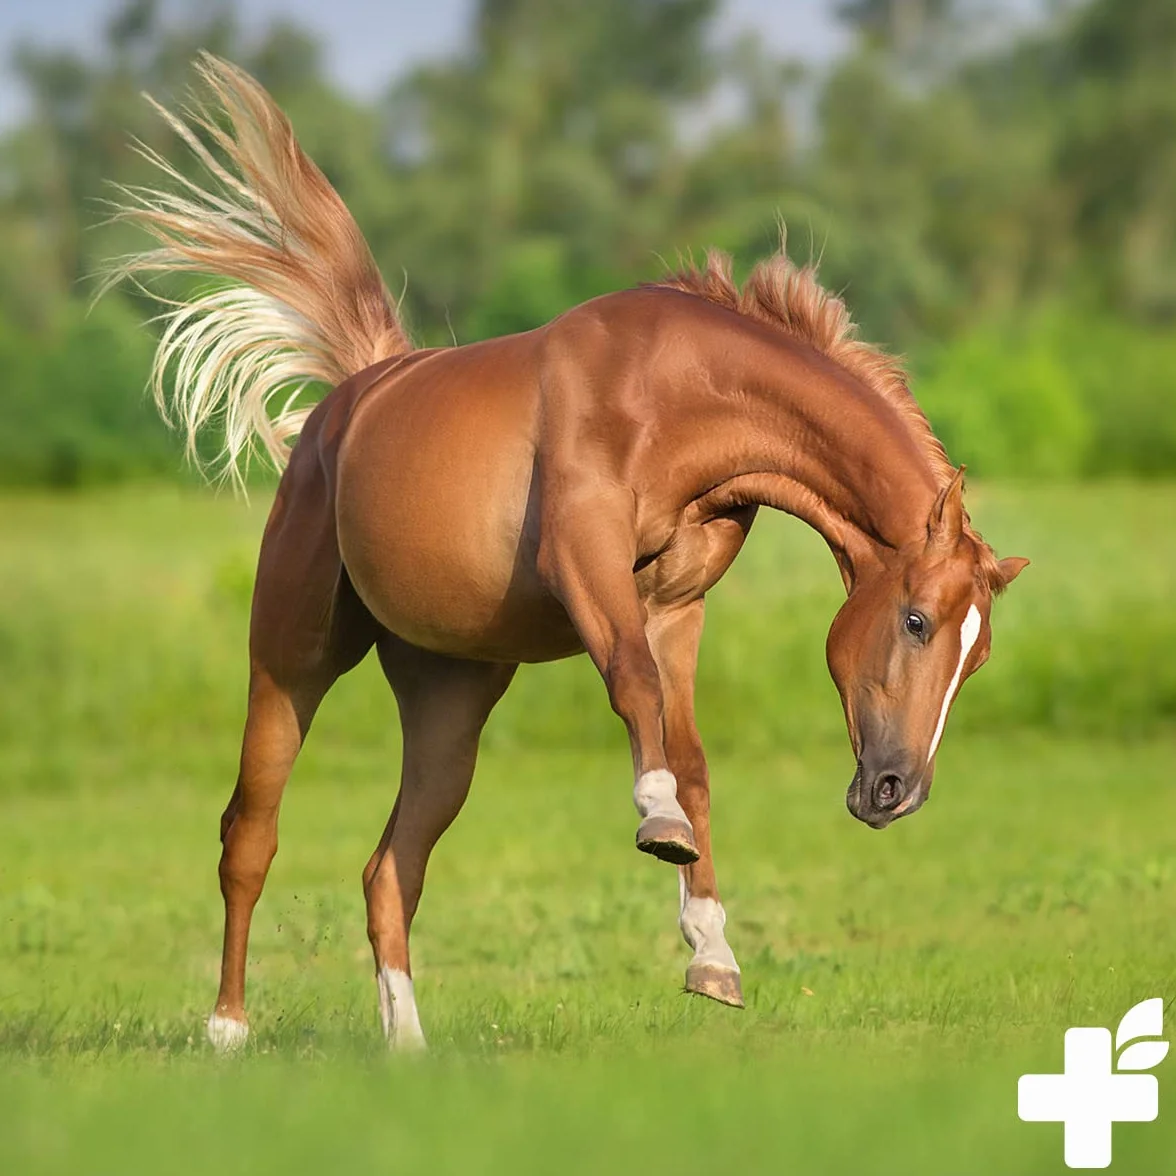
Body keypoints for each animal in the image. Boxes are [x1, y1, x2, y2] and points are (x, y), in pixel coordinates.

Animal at [106, 55, 1028, 1052]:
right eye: (916, 620)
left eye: (977, 657)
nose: (898, 791)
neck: (674, 391)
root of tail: (352, 399)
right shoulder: (585, 563)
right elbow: (633, 689)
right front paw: (658, 822)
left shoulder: (674, 605)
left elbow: (690, 754)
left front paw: (713, 953)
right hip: (291, 659)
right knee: (251, 835)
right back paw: (227, 1031)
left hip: (448, 699)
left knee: (391, 868)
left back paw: (407, 1046)